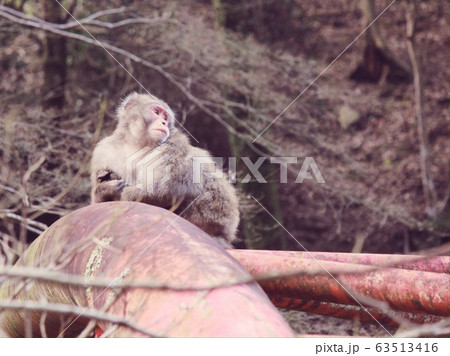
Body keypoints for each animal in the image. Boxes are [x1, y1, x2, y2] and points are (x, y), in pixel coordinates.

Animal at [89, 92, 241, 248]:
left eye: (165, 117)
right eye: (156, 112)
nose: (163, 123)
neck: (137, 144)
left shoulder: (172, 143)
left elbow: (171, 187)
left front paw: (119, 193)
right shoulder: (104, 150)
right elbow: (97, 204)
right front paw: (105, 189)